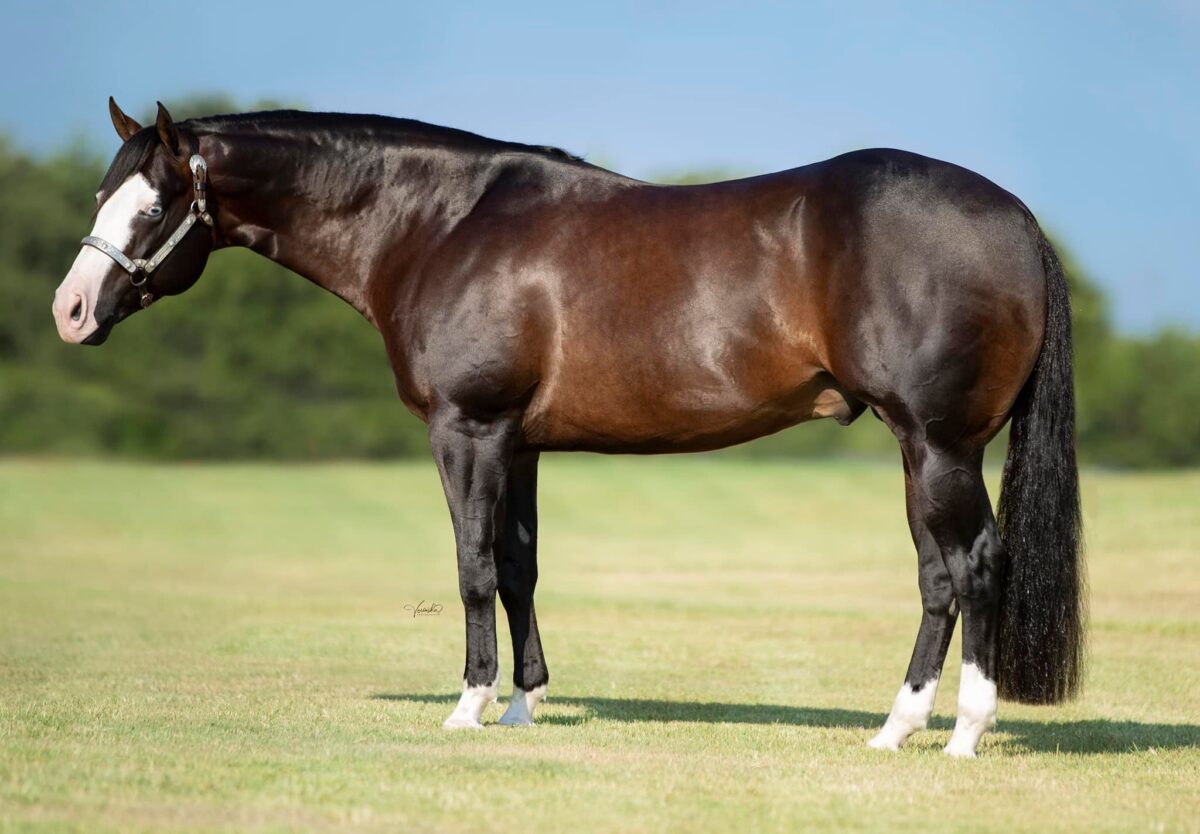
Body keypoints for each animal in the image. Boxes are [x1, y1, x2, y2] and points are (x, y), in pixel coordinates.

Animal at [53, 99, 1084, 757]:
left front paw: (467, 708)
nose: (70, 312)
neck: (438, 224)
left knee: (972, 566)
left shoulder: (467, 430)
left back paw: (953, 735)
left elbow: (471, 567)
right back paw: (902, 727)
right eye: (101, 196)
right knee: (938, 578)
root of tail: (1019, 220)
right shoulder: (521, 442)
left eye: (153, 204)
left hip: (938, 446)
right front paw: (523, 706)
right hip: (926, 451)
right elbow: (519, 567)